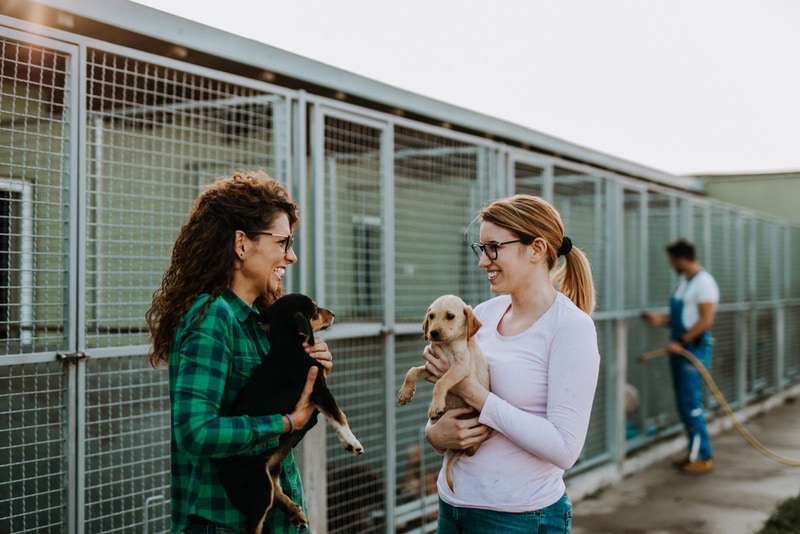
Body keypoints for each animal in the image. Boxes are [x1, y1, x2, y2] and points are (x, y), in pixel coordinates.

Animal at [398, 296, 490, 492]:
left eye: (450, 316)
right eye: (431, 316)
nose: (433, 333)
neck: (448, 344)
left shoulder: (460, 366)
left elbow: (441, 382)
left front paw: (436, 405)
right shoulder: (430, 367)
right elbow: (412, 371)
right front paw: (405, 394)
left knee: (472, 450)